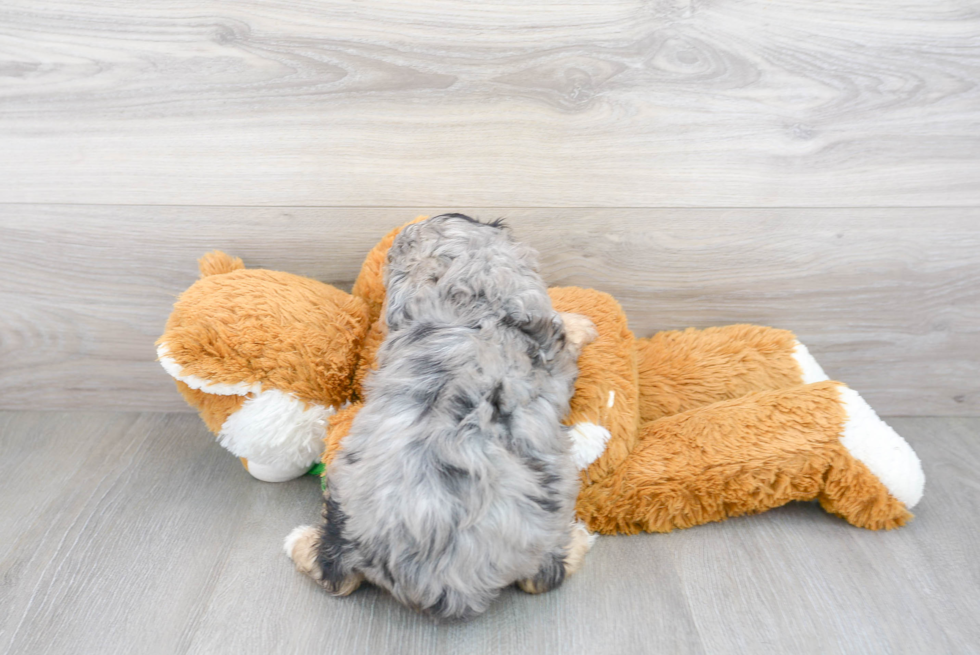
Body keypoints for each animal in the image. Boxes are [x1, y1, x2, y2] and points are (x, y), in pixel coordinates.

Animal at [284, 214, 596, 620]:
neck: (474, 302)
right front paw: (581, 324)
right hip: (547, 514)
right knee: (542, 578)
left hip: (343, 499)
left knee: (336, 574)